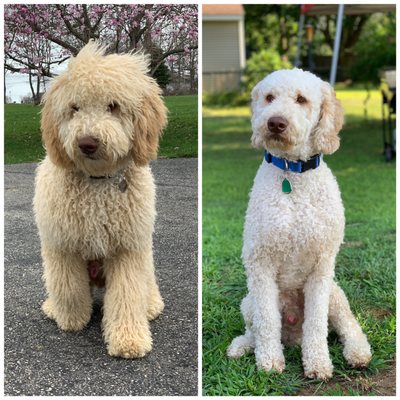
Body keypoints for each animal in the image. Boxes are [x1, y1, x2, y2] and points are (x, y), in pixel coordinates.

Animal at [32, 42, 167, 358]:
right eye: (74, 108)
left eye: (113, 106)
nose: (87, 143)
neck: (97, 182)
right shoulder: (62, 244)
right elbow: (68, 287)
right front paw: (70, 319)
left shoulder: (128, 249)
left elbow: (128, 294)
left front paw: (129, 340)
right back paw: (52, 307)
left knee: (147, 283)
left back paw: (151, 305)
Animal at [228, 69, 372, 382]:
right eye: (269, 97)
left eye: (301, 99)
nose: (275, 122)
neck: (290, 174)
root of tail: (293, 336)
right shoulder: (260, 261)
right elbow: (267, 321)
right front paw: (270, 362)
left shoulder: (322, 266)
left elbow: (317, 324)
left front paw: (318, 363)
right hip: (249, 301)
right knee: (255, 328)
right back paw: (243, 345)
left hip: (335, 295)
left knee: (348, 325)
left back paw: (358, 352)